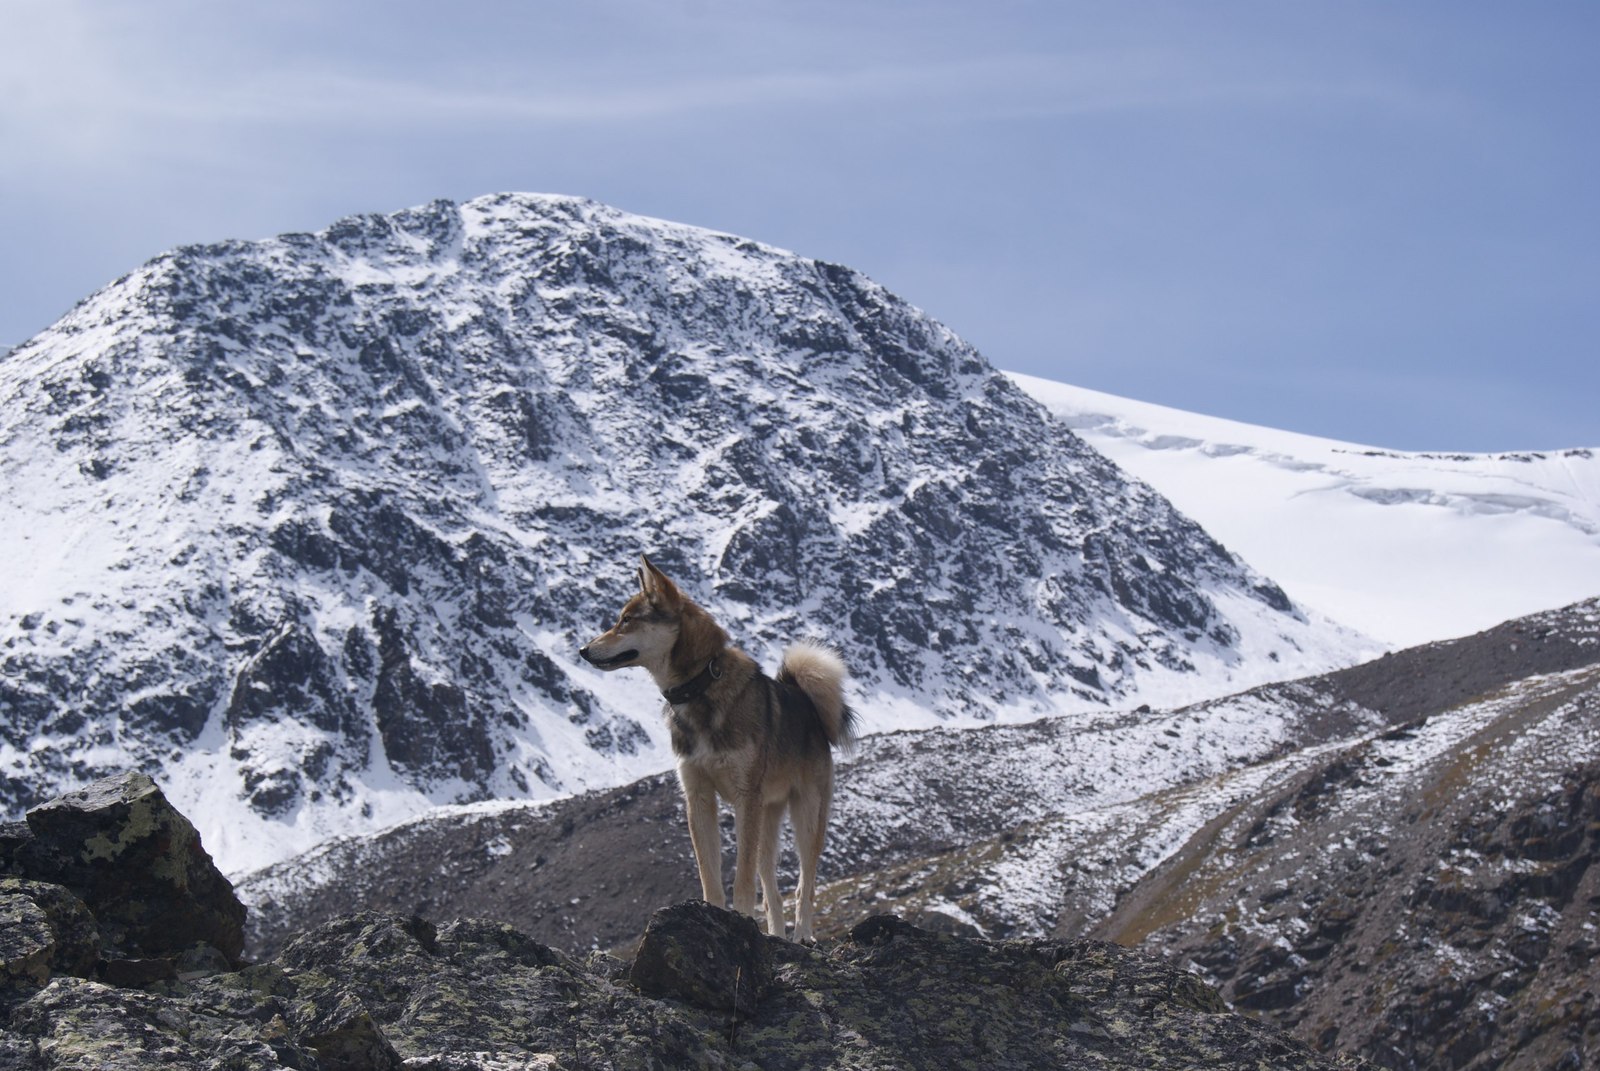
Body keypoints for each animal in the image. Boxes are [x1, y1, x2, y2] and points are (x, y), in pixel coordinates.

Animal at [582, 557, 857, 941]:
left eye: (626, 620)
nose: (584, 649)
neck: (699, 689)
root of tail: (808, 704)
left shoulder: (744, 797)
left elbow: (742, 880)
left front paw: (739, 919)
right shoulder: (698, 796)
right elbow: (710, 875)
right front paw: (711, 916)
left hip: (807, 815)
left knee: (805, 884)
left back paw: (802, 934)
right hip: (767, 821)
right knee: (773, 892)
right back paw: (777, 935)